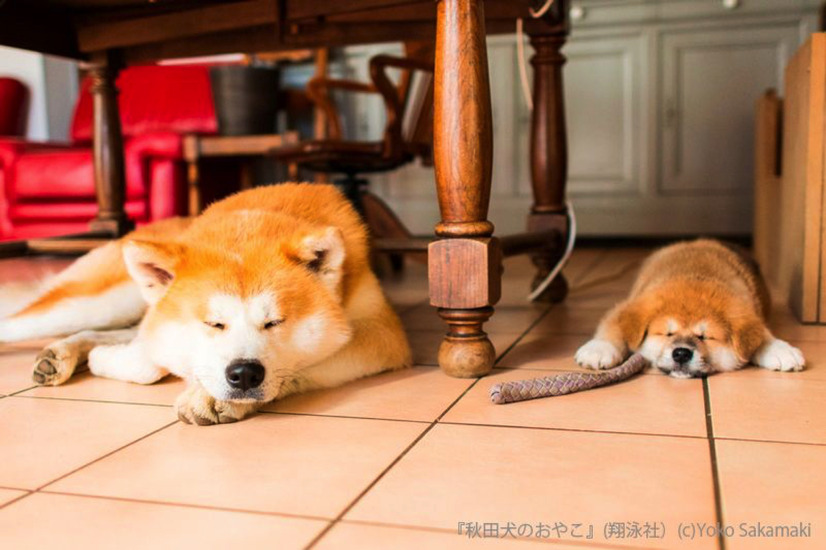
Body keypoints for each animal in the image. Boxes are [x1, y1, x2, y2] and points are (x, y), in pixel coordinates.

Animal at [0, 185, 410, 426]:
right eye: (214, 323)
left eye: (274, 323)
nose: (244, 374)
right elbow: (150, 358)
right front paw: (118, 360)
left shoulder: (382, 333)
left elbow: (301, 367)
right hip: (101, 300)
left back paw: (62, 354)